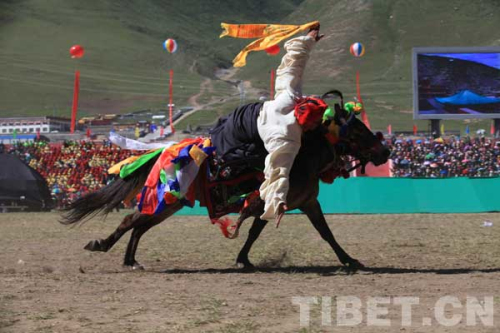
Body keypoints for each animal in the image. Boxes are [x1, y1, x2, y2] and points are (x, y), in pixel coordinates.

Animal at [61, 90, 390, 270]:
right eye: (358, 130)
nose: (385, 150)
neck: (301, 157)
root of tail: (164, 151)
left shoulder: (304, 203)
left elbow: (323, 233)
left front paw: (349, 260)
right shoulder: (271, 202)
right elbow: (258, 232)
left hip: (170, 205)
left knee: (139, 226)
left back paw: (130, 260)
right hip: (166, 200)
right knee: (131, 221)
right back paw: (103, 246)